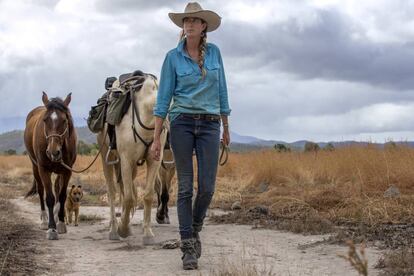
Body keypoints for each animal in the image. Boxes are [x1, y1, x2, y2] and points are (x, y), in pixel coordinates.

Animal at [24, 92, 77, 239]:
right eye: (45, 120)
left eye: (64, 120)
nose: (53, 152)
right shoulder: (44, 169)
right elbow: (49, 198)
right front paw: (51, 228)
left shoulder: (67, 170)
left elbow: (62, 196)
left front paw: (61, 223)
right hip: (35, 167)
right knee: (41, 190)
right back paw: (44, 220)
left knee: (57, 188)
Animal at [97, 71, 167, 244]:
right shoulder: (126, 160)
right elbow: (128, 197)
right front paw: (122, 230)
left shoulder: (154, 161)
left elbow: (147, 195)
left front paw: (147, 234)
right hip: (106, 157)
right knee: (112, 191)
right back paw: (114, 230)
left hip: (132, 166)